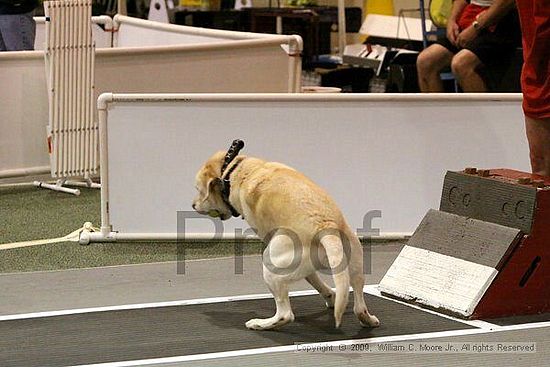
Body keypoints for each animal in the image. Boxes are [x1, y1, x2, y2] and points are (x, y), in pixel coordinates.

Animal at [193, 141, 380, 330]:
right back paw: (368, 320)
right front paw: (331, 297)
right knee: (359, 303)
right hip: (356, 263)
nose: (193, 205)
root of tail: (326, 226)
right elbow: (314, 279)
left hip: (271, 266)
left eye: (199, 191)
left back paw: (260, 324)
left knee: (286, 314)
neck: (233, 170)